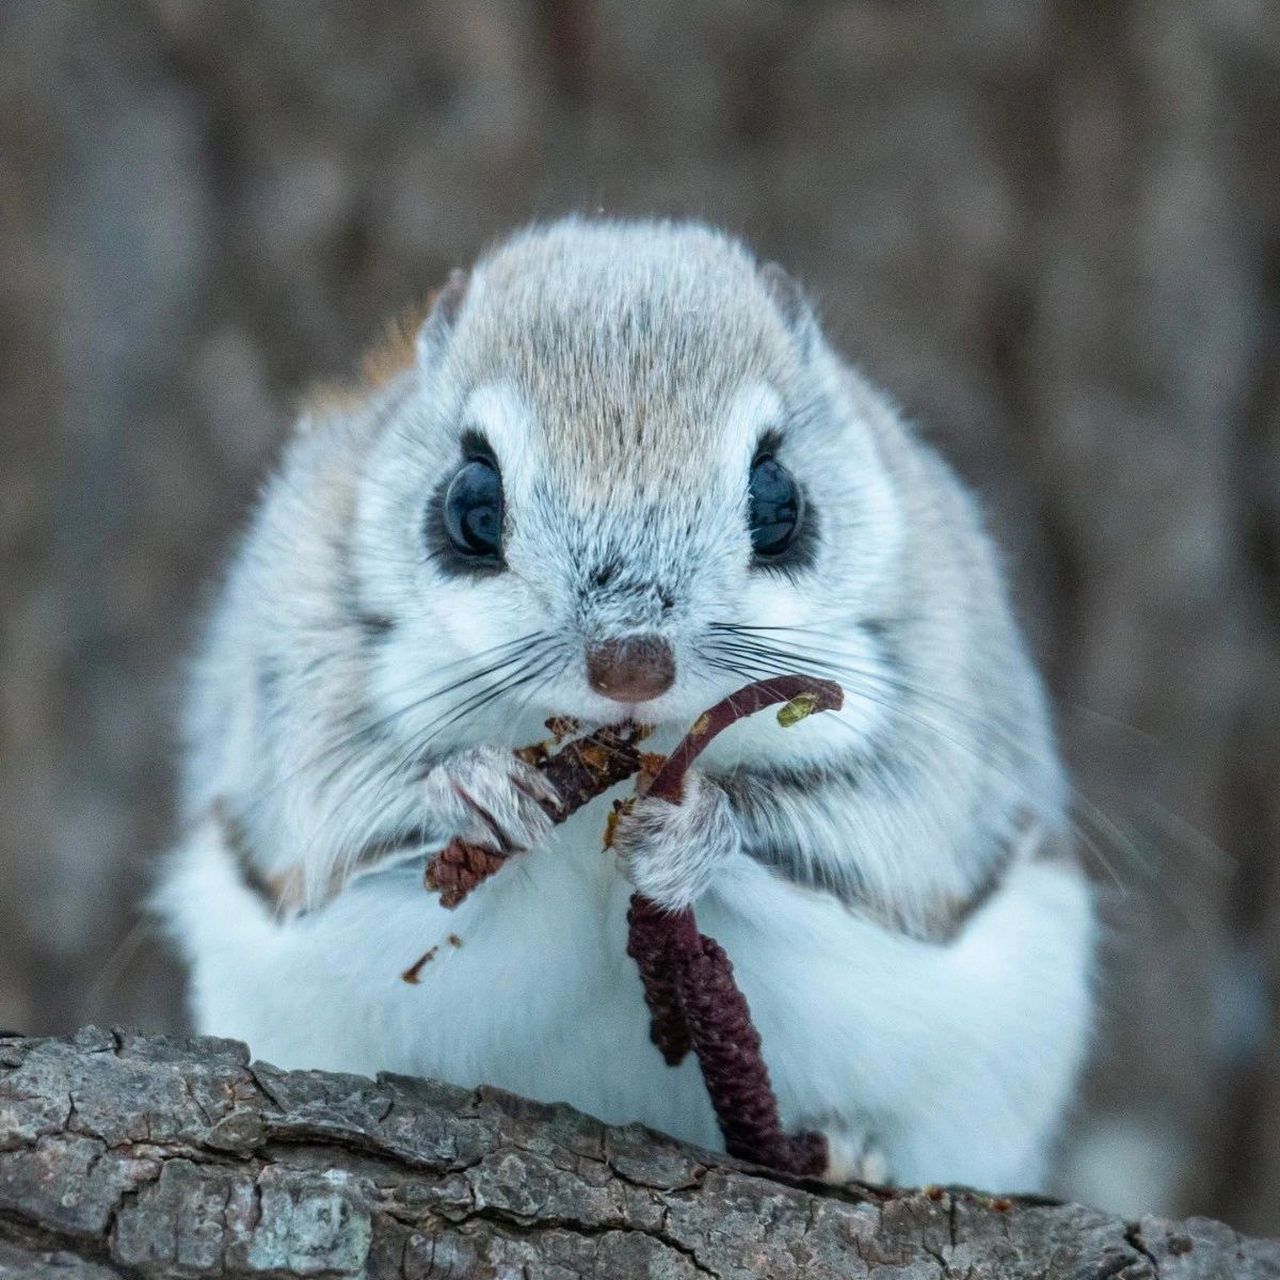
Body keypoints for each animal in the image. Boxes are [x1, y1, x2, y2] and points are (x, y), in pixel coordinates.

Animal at [154, 212, 1095, 1187]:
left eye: (780, 497)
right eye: (469, 503)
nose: (631, 666)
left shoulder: (937, 705)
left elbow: (871, 823)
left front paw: (695, 828)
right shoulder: (297, 691)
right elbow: (340, 811)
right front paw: (473, 791)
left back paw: (846, 1156)